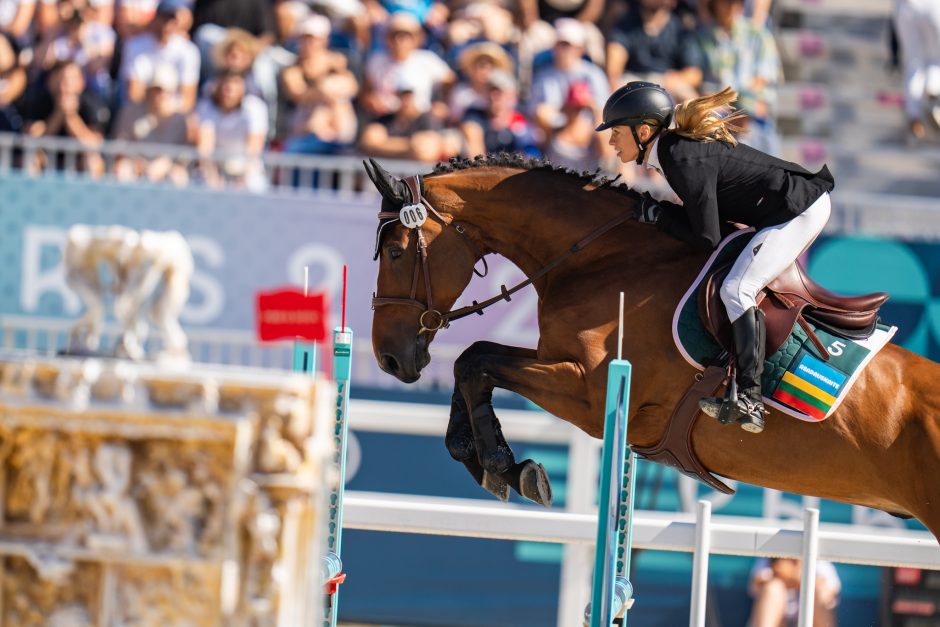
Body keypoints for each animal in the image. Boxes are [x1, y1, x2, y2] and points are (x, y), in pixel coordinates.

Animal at [362, 156, 940, 540]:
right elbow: (472, 362)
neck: (602, 257)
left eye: (396, 252)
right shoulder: (559, 365)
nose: (388, 357)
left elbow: (477, 360)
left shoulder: (590, 394)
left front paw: (505, 465)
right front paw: (481, 457)